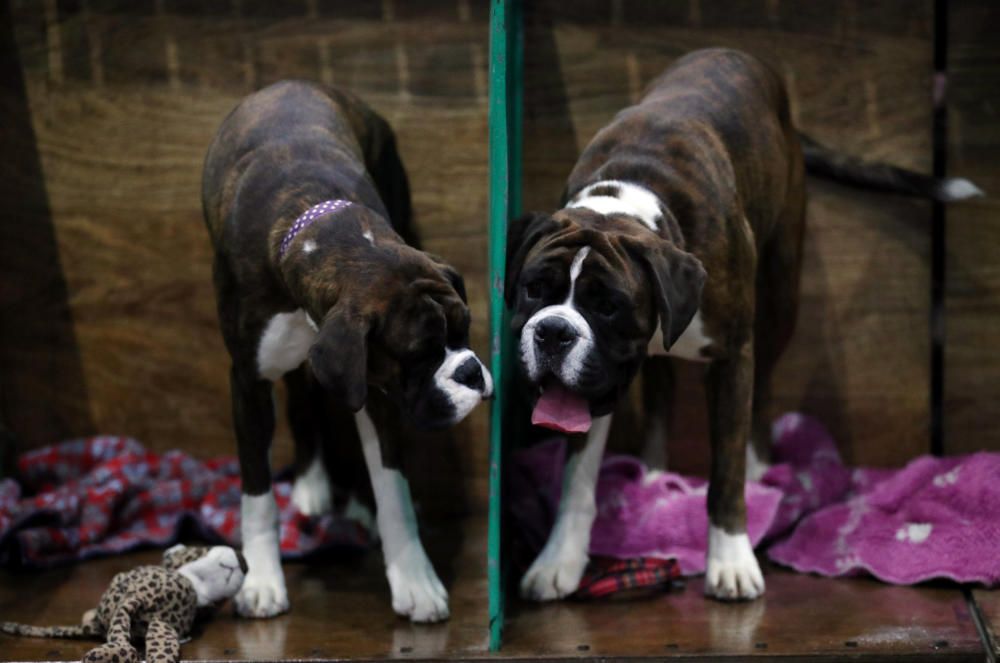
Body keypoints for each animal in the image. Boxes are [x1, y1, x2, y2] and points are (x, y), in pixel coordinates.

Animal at [202, 79, 492, 624]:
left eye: (465, 329)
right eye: (418, 355)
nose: (470, 372)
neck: (323, 235)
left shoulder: (376, 387)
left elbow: (393, 486)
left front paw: (413, 577)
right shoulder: (246, 382)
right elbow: (256, 491)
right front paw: (262, 580)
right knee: (299, 398)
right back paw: (312, 485)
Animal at [512, 49, 980, 604]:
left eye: (608, 306)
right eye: (534, 289)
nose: (554, 332)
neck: (633, 202)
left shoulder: (733, 356)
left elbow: (726, 471)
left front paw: (732, 559)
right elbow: (577, 476)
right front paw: (558, 558)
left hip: (780, 298)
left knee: (763, 394)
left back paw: (758, 473)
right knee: (661, 392)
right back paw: (651, 474)